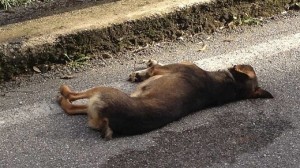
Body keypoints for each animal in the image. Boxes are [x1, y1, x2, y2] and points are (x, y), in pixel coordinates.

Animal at [56, 59, 274, 140]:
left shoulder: (165, 69)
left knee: (73, 99)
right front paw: (140, 73)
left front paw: (143, 70)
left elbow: (155, 67)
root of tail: (110, 121)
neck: (231, 85)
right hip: (93, 106)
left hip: (102, 91)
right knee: (72, 108)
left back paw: (63, 91)